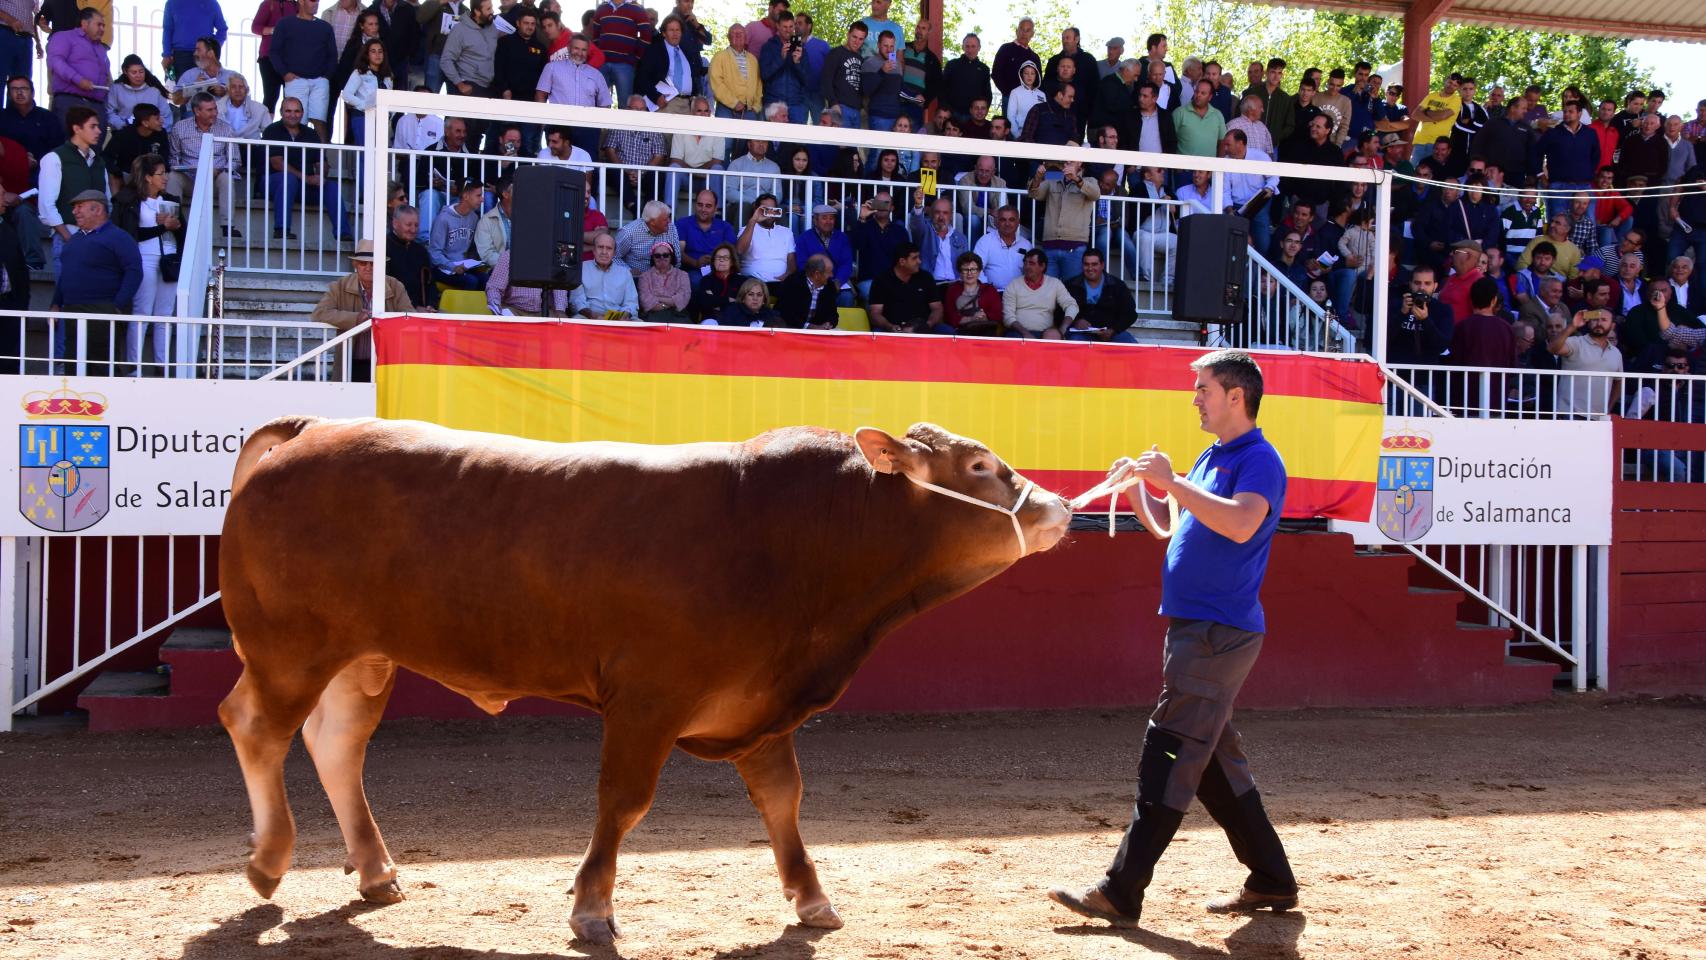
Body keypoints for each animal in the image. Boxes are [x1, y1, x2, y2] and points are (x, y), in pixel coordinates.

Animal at [213, 417, 1064, 941]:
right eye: (980, 466)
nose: (1057, 507)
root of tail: (312, 428)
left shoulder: (761, 705)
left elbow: (782, 799)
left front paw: (812, 896)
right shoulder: (649, 699)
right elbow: (623, 801)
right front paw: (592, 907)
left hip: (362, 657)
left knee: (336, 743)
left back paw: (376, 871)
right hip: (289, 649)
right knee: (256, 725)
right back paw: (269, 858)